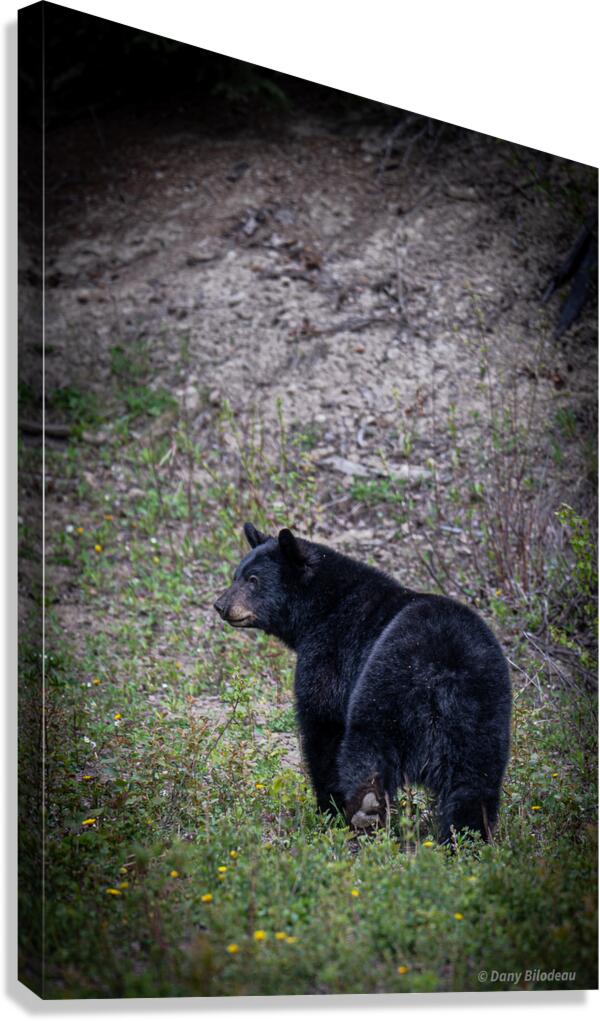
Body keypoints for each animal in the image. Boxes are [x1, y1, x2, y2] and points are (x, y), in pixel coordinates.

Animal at [214, 523, 512, 843]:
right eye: (236, 575)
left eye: (253, 580)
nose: (221, 605)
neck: (321, 607)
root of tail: (442, 675)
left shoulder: (329, 653)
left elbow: (322, 728)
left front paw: (328, 809)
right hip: (483, 713)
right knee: (473, 781)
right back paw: (466, 837)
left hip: (384, 689)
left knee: (367, 751)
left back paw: (366, 810)